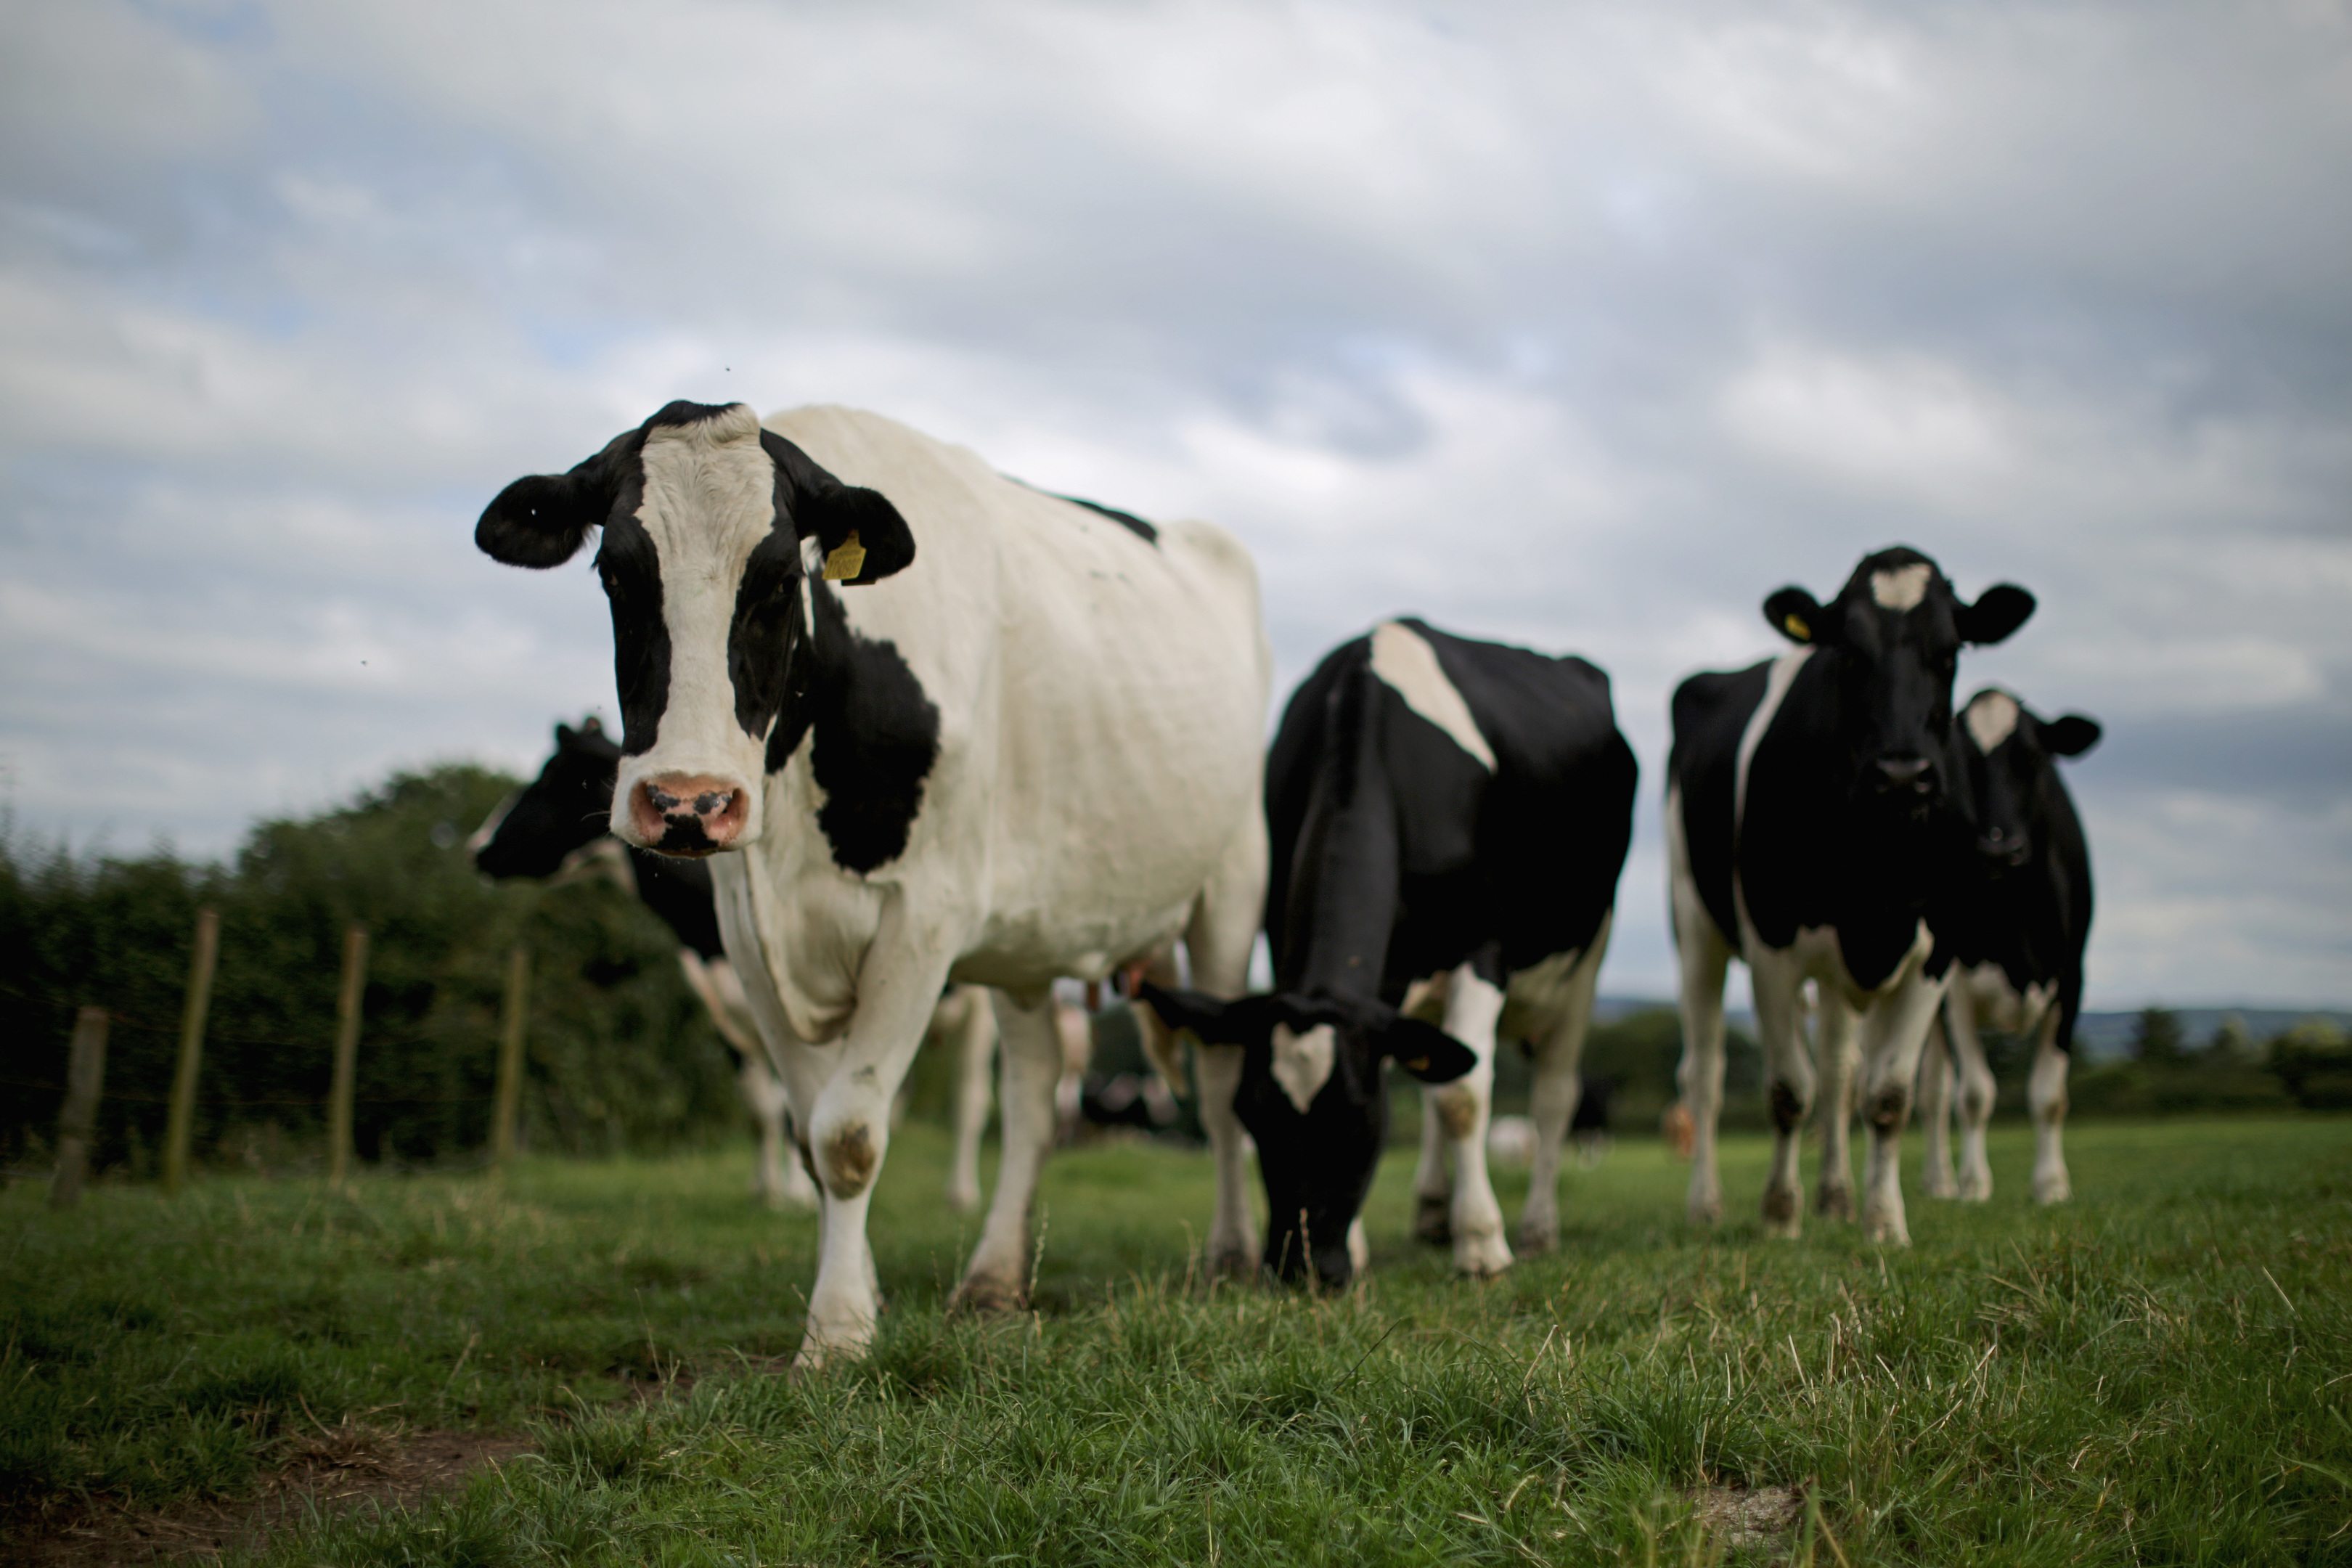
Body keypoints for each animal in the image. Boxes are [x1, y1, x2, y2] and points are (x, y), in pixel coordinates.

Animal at [475, 401, 1270, 1363]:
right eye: (615, 571)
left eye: (780, 580)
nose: (688, 801)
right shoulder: (747, 938)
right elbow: (806, 1133)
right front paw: (855, 1294)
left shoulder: (923, 918)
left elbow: (849, 1133)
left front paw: (838, 1334)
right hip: (1028, 941)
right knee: (1033, 1094)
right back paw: (994, 1277)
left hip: (1232, 886)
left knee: (1220, 1084)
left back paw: (1231, 1255)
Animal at [1143, 620, 1628, 1297]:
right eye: (1252, 1116)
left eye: (1357, 1119)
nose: (1300, 1269)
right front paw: (1367, 1246)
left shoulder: (1485, 951)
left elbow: (1464, 1097)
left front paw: (1482, 1245)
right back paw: (1432, 1213)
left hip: (1586, 959)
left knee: (1554, 1095)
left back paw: (1535, 1228)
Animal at [1665, 545, 2032, 1241]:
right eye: (1850, 654)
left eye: (1950, 651)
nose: (1903, 773)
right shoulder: (1771, 944)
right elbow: (1787, 1090)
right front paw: (1780, 1217)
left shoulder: (1937, 952)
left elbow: (1886, 1096)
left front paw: (1883, 1222)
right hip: (1694, 925)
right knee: (1706, 1073)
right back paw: (1703, 1205)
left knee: (1839, 1071)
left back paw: (1836, 1195)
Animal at [1919, 691, 2107, 1213]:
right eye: (1959, 766)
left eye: (2034, 758)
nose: (1998, 849)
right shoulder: (1953, 987)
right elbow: (1974, 1095)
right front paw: (1974, 1185)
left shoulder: (2072, 980)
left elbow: (2049, 1096)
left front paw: (2052, 1186)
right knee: (1930, 1094)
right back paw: (1938, 1182)